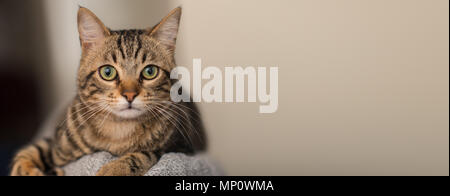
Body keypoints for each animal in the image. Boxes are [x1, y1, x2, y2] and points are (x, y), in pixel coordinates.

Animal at [9, 6, 206, 176]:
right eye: (108, 72)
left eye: (150, 72)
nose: (129, 95)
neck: (119, 130)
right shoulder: (56, 144)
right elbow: (28, 152)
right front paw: (26, 170)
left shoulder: (181, 149)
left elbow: (145, 154)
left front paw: (114, 169)